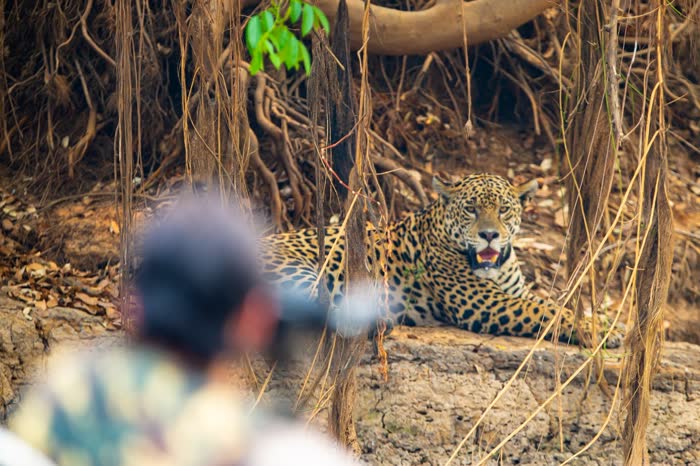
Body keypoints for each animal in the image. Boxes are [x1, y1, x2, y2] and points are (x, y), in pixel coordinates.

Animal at [259, 174, 624, 348]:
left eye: (503, 209)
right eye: (471, 209)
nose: (489, 235)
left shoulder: (514, 292)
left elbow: (550, 304)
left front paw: (604, 324)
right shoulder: (484, 303)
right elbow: (546, 311)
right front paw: (600, 330)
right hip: (300, 273)